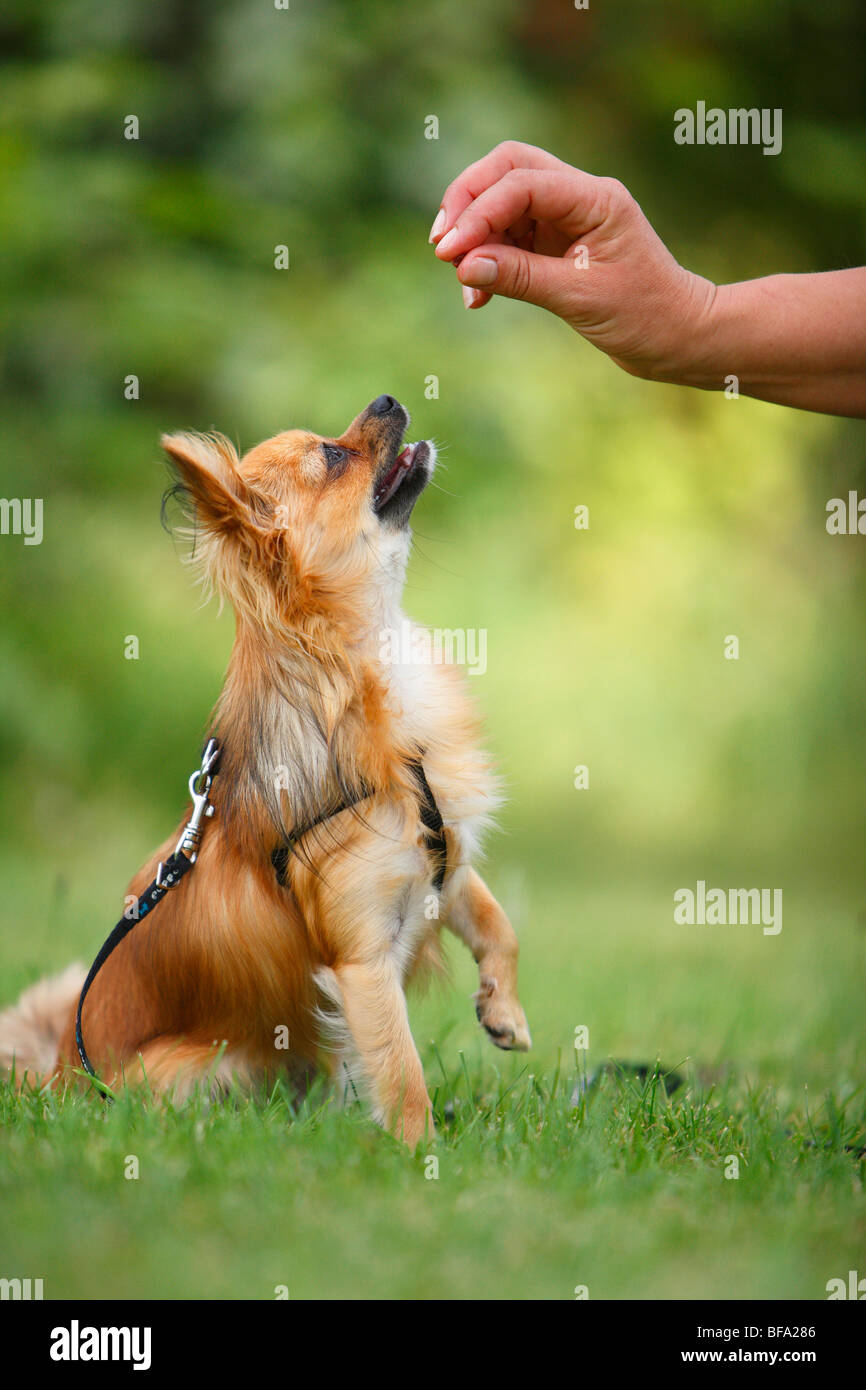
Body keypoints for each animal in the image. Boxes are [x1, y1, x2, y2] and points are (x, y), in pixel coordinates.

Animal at [0, 397, 530, 1145]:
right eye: (332, 457)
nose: (387, 400)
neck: (373, 664)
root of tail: (60, 1076)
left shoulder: (441, 858)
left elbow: (496, 921)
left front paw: (503, 1009)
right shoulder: (363, 962)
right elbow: (402, 1075)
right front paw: (420, 1152)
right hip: (197, 1068)